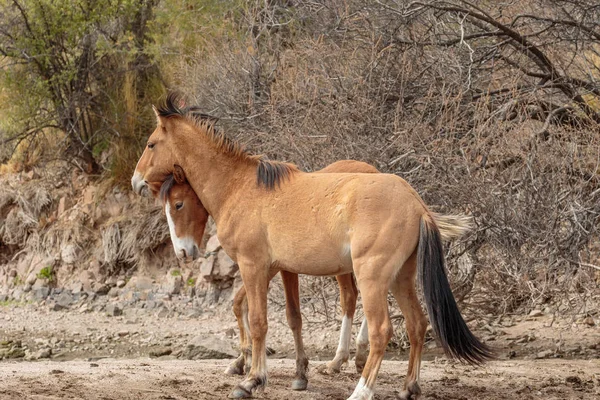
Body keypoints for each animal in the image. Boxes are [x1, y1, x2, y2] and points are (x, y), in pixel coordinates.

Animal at [134, 94, 494, 400]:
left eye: (178, 204)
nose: (136, 182)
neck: (241, 187)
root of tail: (416, 203)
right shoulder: (280, 269)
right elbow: (285, 318)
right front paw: (284, 373)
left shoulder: (254, 267)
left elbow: (259, 321)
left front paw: (252, 380)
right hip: (400, 277)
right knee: (417, 324)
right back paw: (408, 387)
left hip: (372, 275)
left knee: (381, 328)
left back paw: (361, 389)